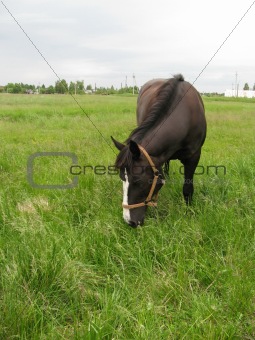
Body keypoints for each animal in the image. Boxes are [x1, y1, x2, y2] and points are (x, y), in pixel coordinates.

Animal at [111, 74, 205, 228]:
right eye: (122, 178)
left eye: (138, 181)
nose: (129, 221)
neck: (184, 115)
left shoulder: (194, 157)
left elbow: (187, 188)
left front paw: (188, 211)